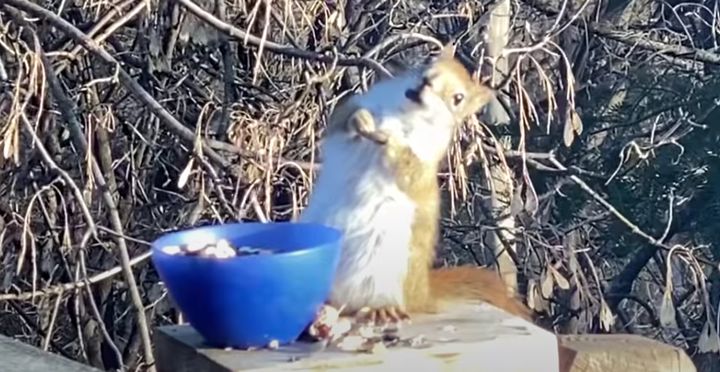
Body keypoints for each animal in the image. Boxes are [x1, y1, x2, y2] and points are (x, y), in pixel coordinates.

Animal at [298, 45, 536, 326]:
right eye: (427, 64)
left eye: (458, 98)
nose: (426, 83)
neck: (406, 112)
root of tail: (420, 294)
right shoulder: (359, 106)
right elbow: (342, 119)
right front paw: (361, 120)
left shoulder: (425, 159)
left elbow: (409, 170)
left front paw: (392, 142)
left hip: (385, 271)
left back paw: (380, 309)